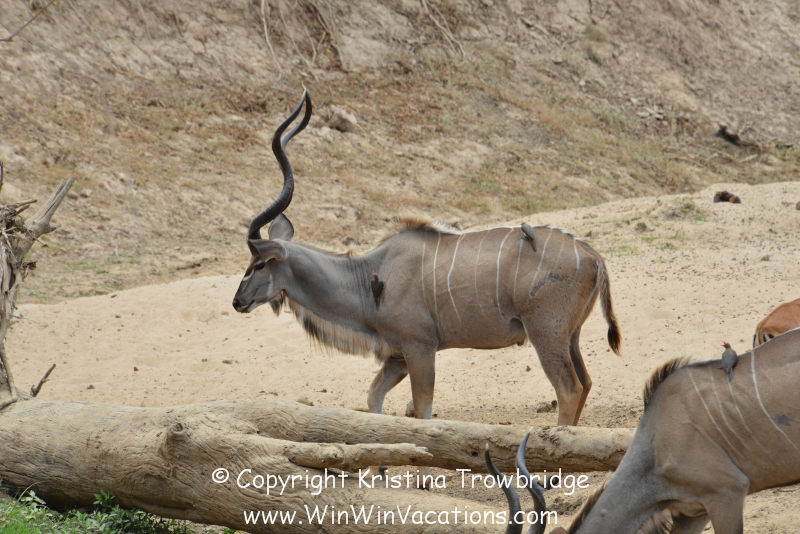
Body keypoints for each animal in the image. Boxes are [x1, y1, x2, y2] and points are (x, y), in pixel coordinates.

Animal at [232, 90, 621, 433]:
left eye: (259, 263)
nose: (238, 301)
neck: (367, 278)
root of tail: (593, 257)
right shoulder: (397, 356)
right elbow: (373, 400)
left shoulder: (420, 349)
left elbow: (423, 412)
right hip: (569, 337)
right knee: (586, 383)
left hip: (545, 334)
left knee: (569, 389)